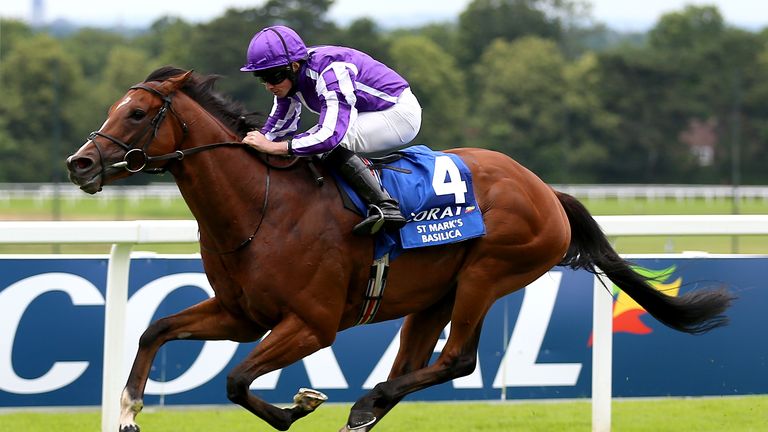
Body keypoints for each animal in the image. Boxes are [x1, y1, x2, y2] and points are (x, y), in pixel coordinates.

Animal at [67, 67, 732, 432]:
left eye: (138, 112)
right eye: (115, 108)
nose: (80, 163)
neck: (260, 208)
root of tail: (545, 189)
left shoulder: (310, 324)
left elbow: (234, 382)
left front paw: (299, 404)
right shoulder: (241, 314)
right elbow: (154, 329)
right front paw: (127, 409)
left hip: (488, 274)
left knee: (457, 360)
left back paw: (365, 401)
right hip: (431, 295)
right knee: (413, 363)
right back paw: (365, 411)